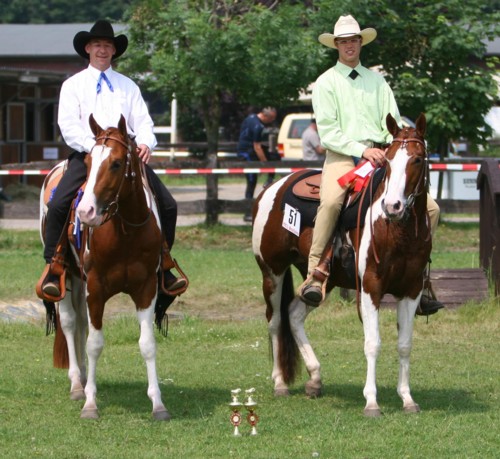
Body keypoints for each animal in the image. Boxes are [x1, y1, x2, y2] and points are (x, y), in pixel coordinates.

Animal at [38, 115, 170, 420]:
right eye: (88, 162)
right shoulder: (96, 289)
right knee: (70, 322)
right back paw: (77, 384)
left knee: (81, 325)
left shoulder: (146, 289)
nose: (85, 212)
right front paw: (90, 404)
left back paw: (85, 379)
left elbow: (147, 344)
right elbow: (95, 344)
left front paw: (158, 404)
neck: (125, 232)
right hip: (66, 278)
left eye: (117, 163)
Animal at [252, 114, 432, 416]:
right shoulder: (371, 286)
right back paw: (280, 384)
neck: (397, 231)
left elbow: (405, 345)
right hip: (272, 272)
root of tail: (272, 189)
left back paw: (314, 379)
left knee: (295, 314)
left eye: (417, 159)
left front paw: (407, 399)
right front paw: (371, 402)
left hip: (323, 281)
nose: (393, 206)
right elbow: (372, 343)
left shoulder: (412, 289)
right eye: (388, 160)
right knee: (275, 321)